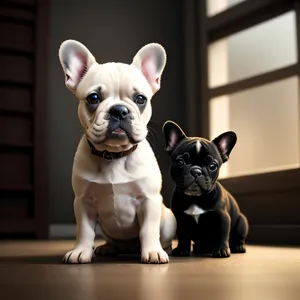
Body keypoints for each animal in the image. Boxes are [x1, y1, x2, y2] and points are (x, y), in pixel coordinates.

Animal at [164, 120, 248, 258]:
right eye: (180, 162)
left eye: (213, 165)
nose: (196, 171)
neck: (195, 198)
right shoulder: (180, 218)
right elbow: (182, 235)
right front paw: (182, 249)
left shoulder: (222, 217)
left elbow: (222, 234)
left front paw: (221, 250)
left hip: (242, 222)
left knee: (238, 236)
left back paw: (238, 246)